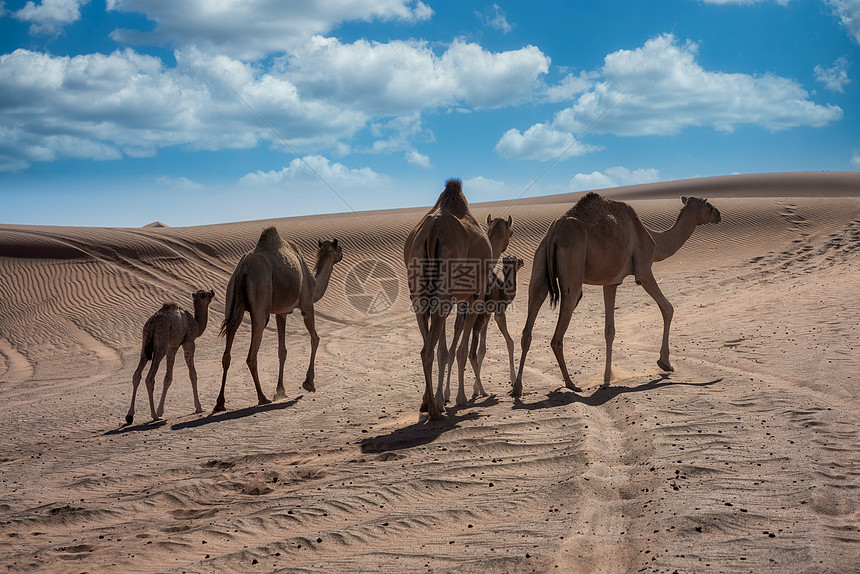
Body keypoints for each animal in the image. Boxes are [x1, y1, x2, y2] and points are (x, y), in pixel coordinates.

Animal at [126, 290, 217, 426]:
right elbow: (192, 374)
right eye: (206, 294)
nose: (212, 291)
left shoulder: (172, 346)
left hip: (145, 343)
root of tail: (152, 324)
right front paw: (199, 407)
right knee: (149, 378)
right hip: (160, 344)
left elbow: (168, 377)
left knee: (137, 374)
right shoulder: (188, 342)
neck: (196, 324)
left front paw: (161, 410)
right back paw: (154, 416)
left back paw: (129, 416)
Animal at [215, 230, 342, 414]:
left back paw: (220, 403)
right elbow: (315, 339)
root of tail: (243, 269)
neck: (314, 283)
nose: (342, 254)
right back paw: (262, 397)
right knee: (252, 354)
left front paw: (280, 391)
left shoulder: (281, 313)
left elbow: (282, 351)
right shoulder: (307, 305)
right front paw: (309, 383)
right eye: (339, 247)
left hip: (231, 298)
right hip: (260, 301)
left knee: (227, 351)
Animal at [404, 178, 498, 420]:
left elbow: (444, 349)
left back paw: (428, 404)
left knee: (427, 345)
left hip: (418, 293)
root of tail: (431, 232)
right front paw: (459, 398)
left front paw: (440, 398)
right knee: (427, 351)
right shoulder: (474, 295)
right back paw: (435, 412)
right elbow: (461, 350)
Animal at [444, 254, 524, 402]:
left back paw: (447, 394)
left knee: (452, 349)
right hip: (475, 315)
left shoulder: (487, 314)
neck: (504, 290)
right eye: (516, 259)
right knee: (470, 352)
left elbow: (482, 349)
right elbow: (509, 342)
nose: (523, 261)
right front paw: (513, 380)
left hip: (462, 315)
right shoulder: (498, 312)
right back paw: (479, 392)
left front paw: (475, 388)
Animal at [512, 196, 724, 398]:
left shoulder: (611, 281)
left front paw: (608, 377)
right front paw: (665, 363)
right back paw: (571, 384)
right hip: (573, 266)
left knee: (530, 320)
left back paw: (518, 388)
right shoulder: (643, 271)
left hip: (539, 262)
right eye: (708, 205)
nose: (719, 214)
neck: (655, 241)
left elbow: (609, 330)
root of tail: (554, 233)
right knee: (558, 334)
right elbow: (668, 308)